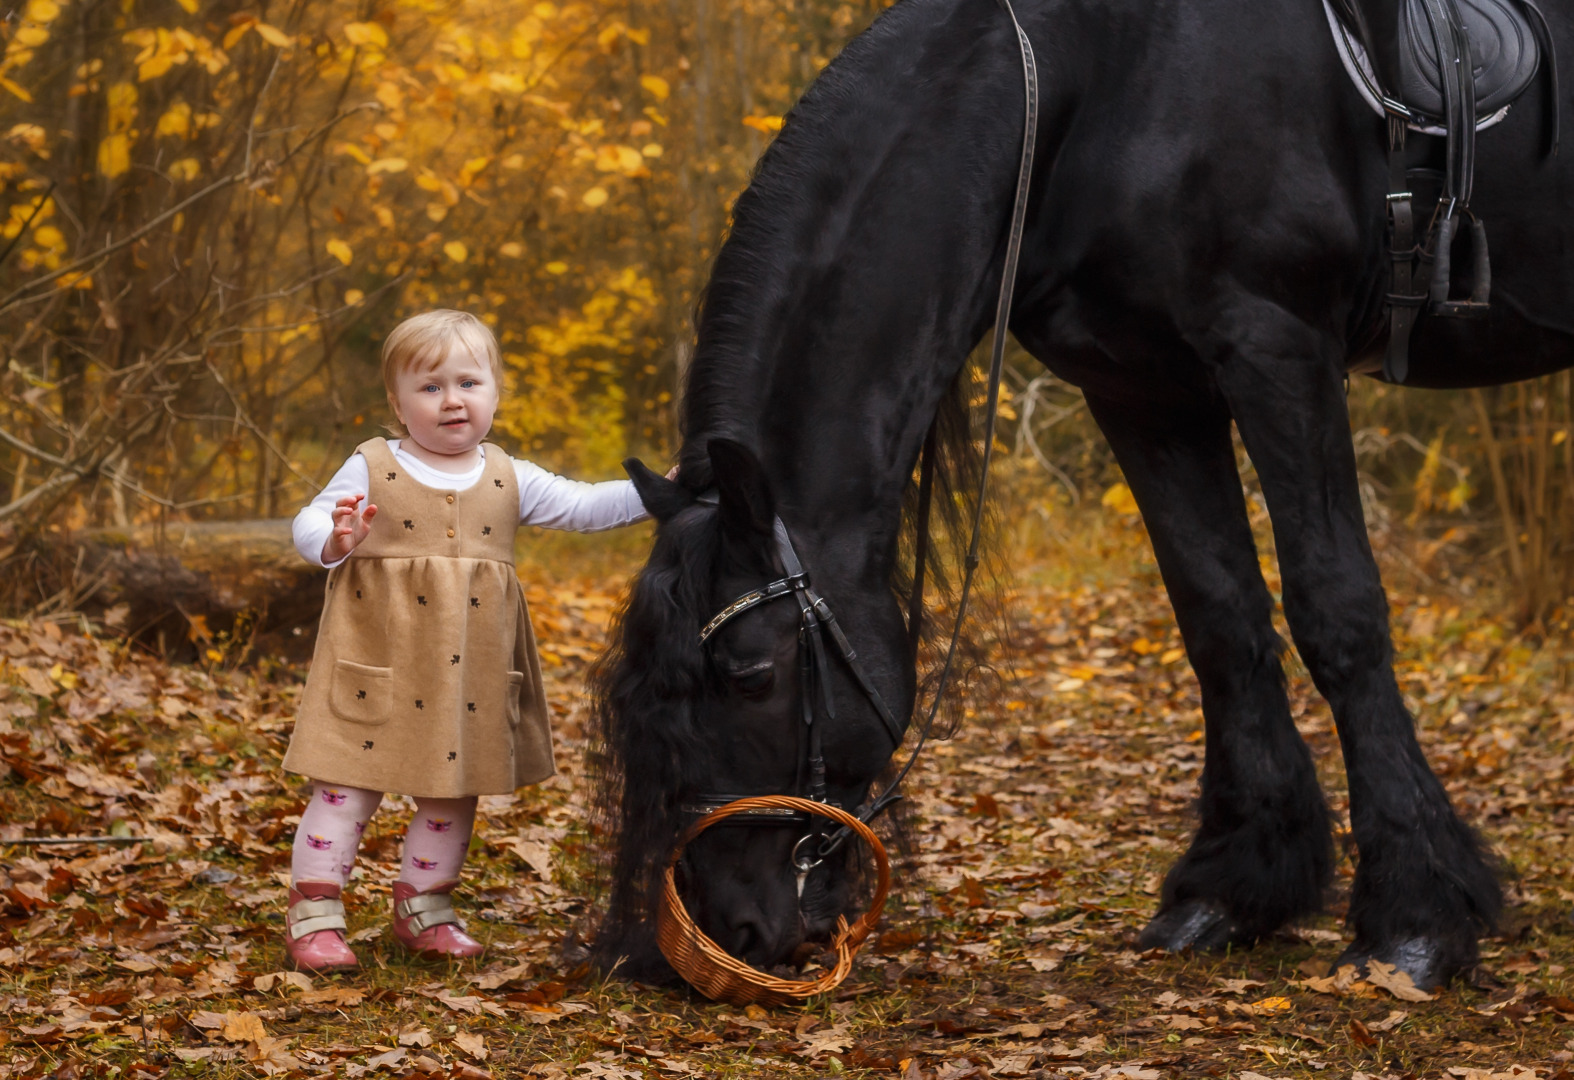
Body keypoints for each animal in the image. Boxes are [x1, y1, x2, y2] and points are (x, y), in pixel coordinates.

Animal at [591, 0, 1574, 988]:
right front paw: (1233, 888)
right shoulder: (1143, 389)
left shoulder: (1278, 351)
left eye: (751, 675)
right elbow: (1219, 621)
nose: (725, 931)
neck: (1108, 83)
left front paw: (1414, 916)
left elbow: (1339, 616)